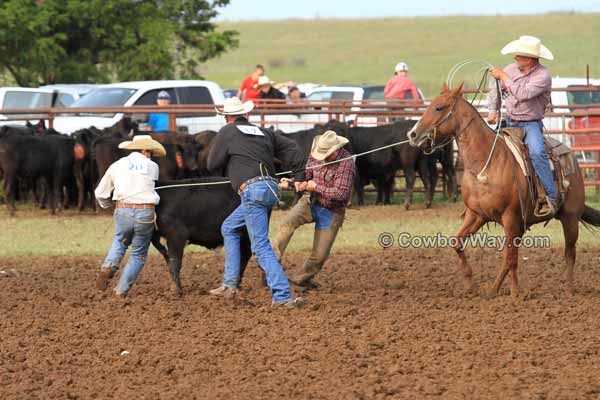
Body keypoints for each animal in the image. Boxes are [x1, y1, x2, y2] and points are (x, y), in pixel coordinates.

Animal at [408, 83, 600, 296]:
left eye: (439, 107)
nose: (413, 134)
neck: (485, 164)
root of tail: (571, 157)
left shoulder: (510, 217)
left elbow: (511, 258)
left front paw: (515, 295)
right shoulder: (477, 215)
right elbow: (458, 243)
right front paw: (470, 284)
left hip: (570, 218)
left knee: (569, 253)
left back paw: (569, 289)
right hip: (523, 225)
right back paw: (492, 290)